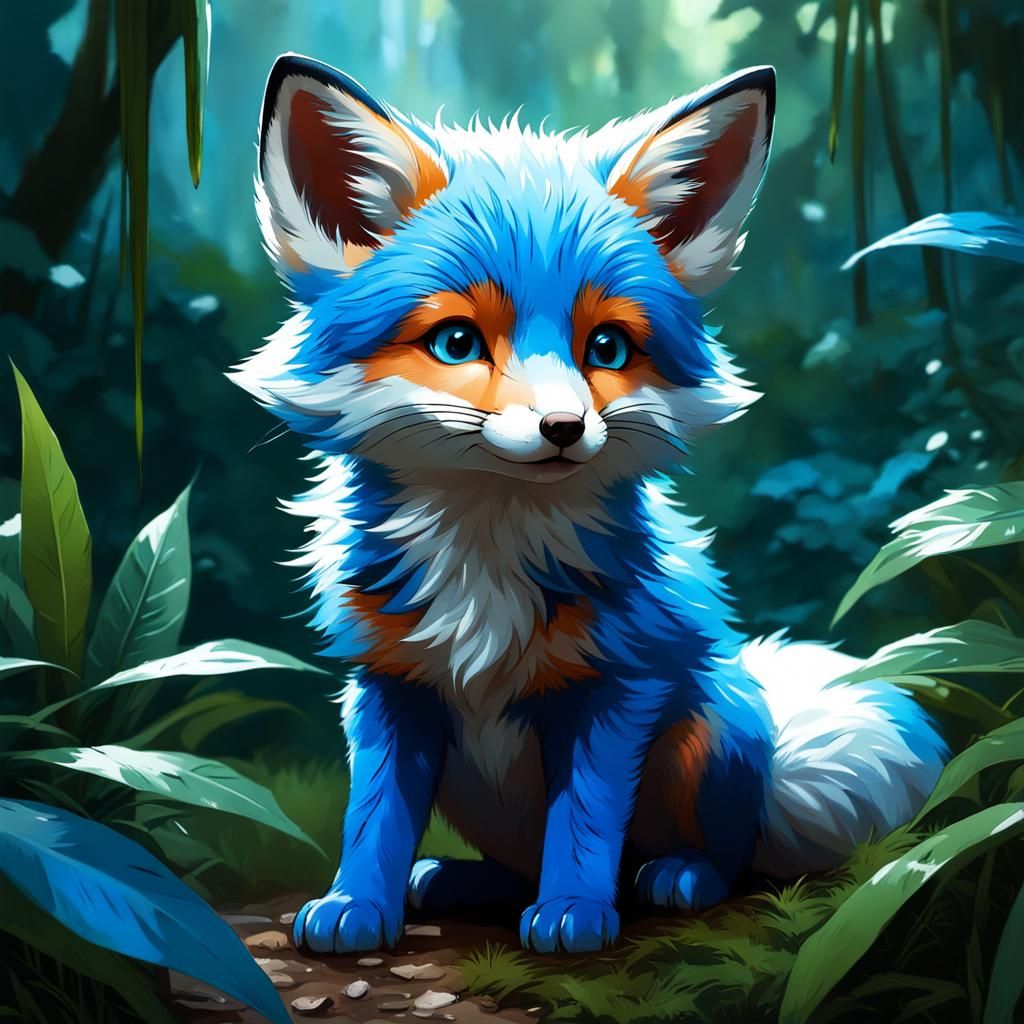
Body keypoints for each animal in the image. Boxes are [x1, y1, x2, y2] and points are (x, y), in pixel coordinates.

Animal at [233, 54, 948, 955]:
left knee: (727, 853)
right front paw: (357, 904)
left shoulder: (618, 685)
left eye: (606, 347)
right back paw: (459, 881)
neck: (486, 562)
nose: (565, 428)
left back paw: (675, 876)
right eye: (457, 342)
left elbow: (585, 822)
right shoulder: (390, 683)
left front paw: (575, 909)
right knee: (509, 863)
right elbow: (376, 816)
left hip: (712, 729)